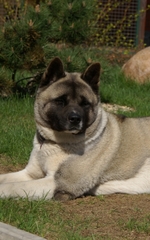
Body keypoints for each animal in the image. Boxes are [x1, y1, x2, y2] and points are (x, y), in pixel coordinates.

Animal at [0, 57, 150, 202]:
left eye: (85, 104)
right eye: (60, 101)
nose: (75, 118)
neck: (56, 142)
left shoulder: (58, 183)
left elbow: (13, 186)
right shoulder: (29, 173)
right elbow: (5, 178)